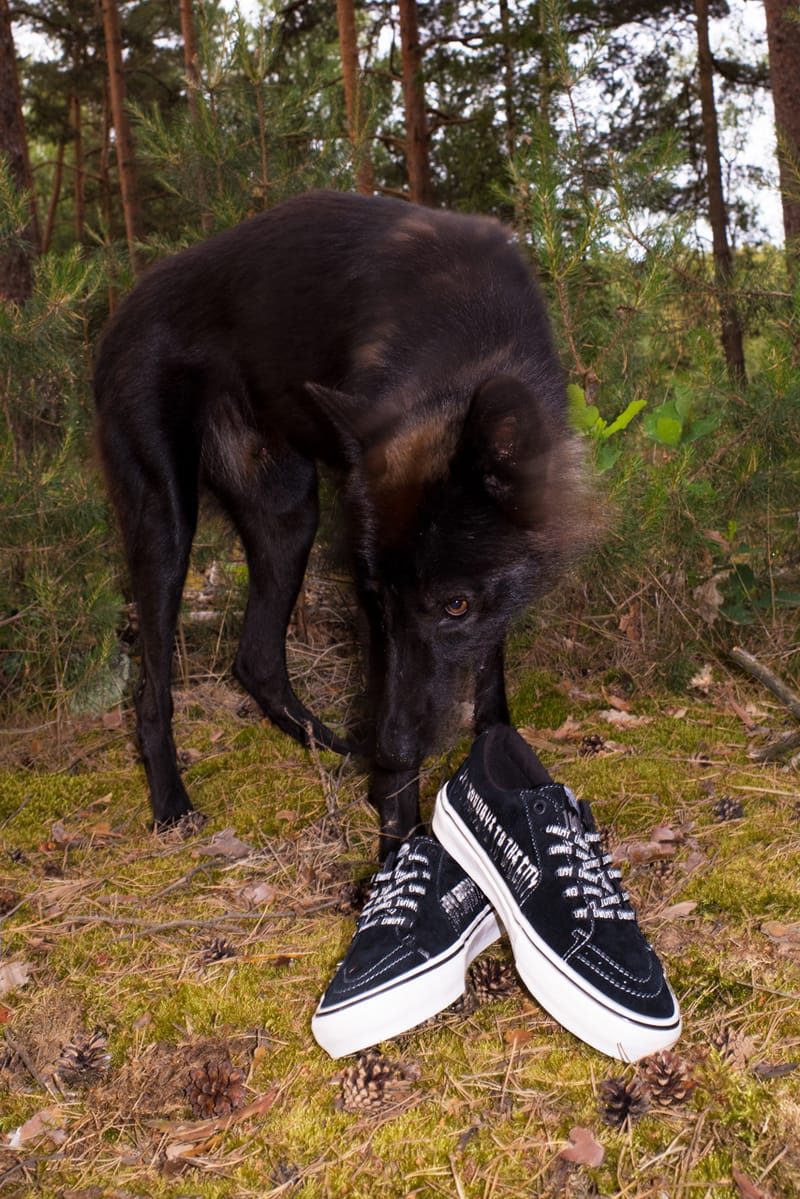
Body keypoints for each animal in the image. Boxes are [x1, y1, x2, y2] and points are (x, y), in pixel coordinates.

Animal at [97, 191, 592, 858]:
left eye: (455, 605)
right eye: (378, 599)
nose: (391, 747)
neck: (468, 343)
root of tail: (121, 310)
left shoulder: (493, 598)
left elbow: (488, 671)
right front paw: (398, 839)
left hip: (288, 514)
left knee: (255, 659)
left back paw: (332, 747)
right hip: (166, 523)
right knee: (153, 694)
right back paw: (173, 805)